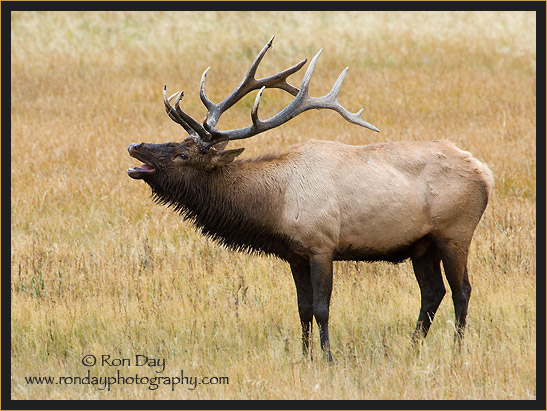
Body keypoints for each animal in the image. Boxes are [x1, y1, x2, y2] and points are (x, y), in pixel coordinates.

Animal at [127, 37, 492, 362]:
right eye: (174, 142)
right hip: (421, 244)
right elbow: (302, 308)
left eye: (182, 154)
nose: (135, 146)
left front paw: (328, 357)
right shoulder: (295, 254)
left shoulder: (322, 245)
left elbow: (321, 308)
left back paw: (456, 352)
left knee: (461, 290)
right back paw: (412, 348)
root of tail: (485, 173)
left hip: (455, 232)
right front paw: (304, 357)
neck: (275, 207)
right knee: (432, 292)